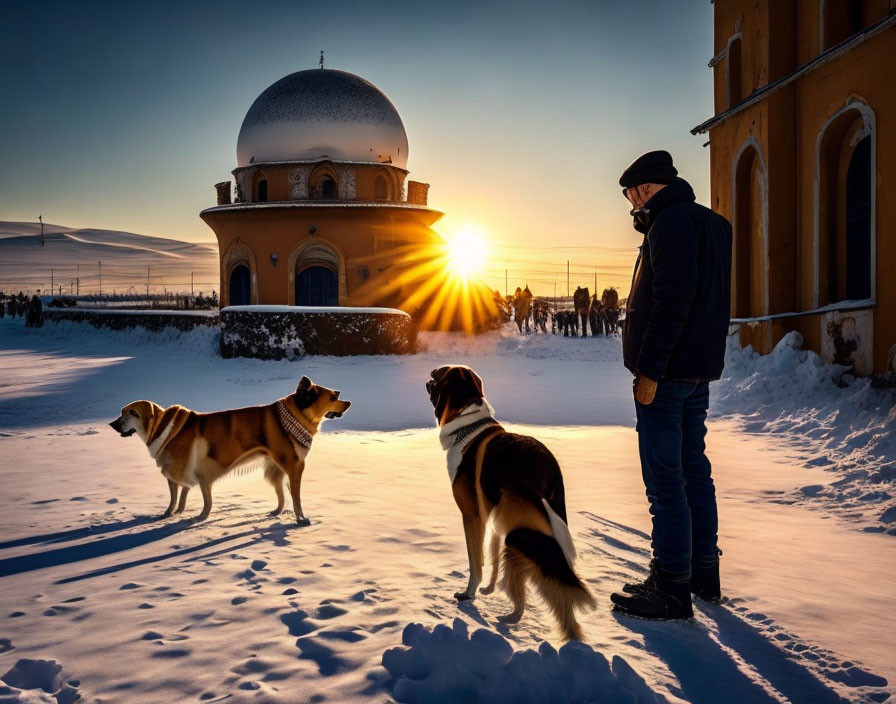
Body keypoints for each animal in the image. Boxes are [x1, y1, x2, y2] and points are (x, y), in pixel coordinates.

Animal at [110, 380, 352, 524]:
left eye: (131, 413)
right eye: (334, 397)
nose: (348, 402)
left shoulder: (292, 467)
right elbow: (180, 496)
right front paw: (175, 514)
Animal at [428, 366, 596, 640]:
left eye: (438, 376)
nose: (429, 376)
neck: (469, 424)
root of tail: (545, 471)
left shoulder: (472, 516)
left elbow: (476, 562)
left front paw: (469, 594)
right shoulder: (495, 518)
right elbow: (492, 555)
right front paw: (488, 589)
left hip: (519, 540)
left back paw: (512, 619)